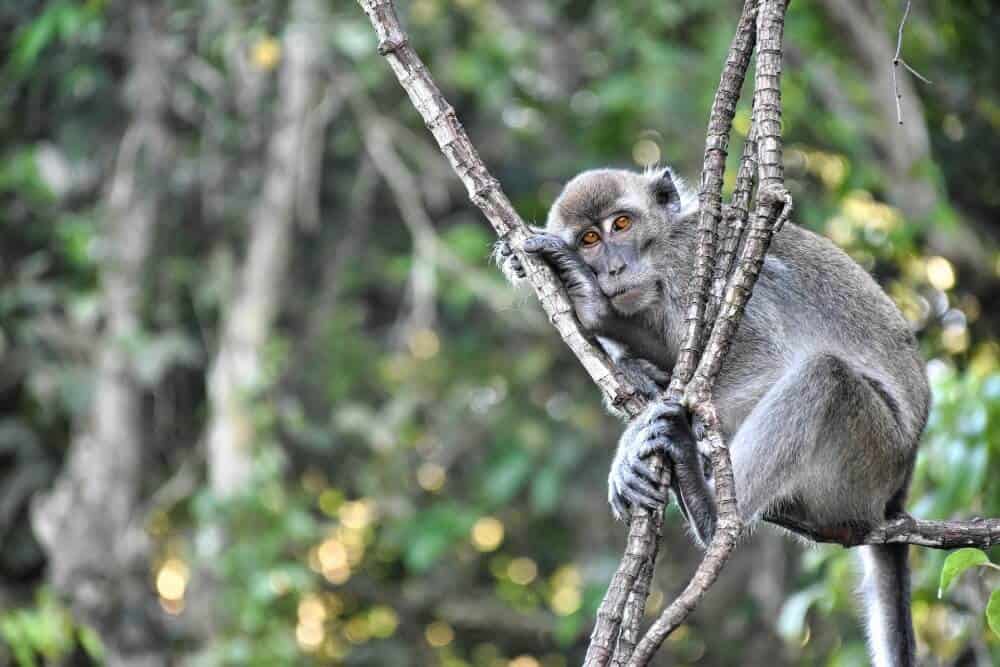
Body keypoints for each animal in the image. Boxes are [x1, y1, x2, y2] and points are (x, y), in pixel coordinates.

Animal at [498, 166, 930, 667]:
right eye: (588, 239)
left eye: (621, 225)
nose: (612, 269)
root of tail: (897, 489)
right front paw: (595, 312)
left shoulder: (689, 267)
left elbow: (764, 360)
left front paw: (630, 441)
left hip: (870, 458)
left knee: (825, 377)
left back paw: (709, 510)